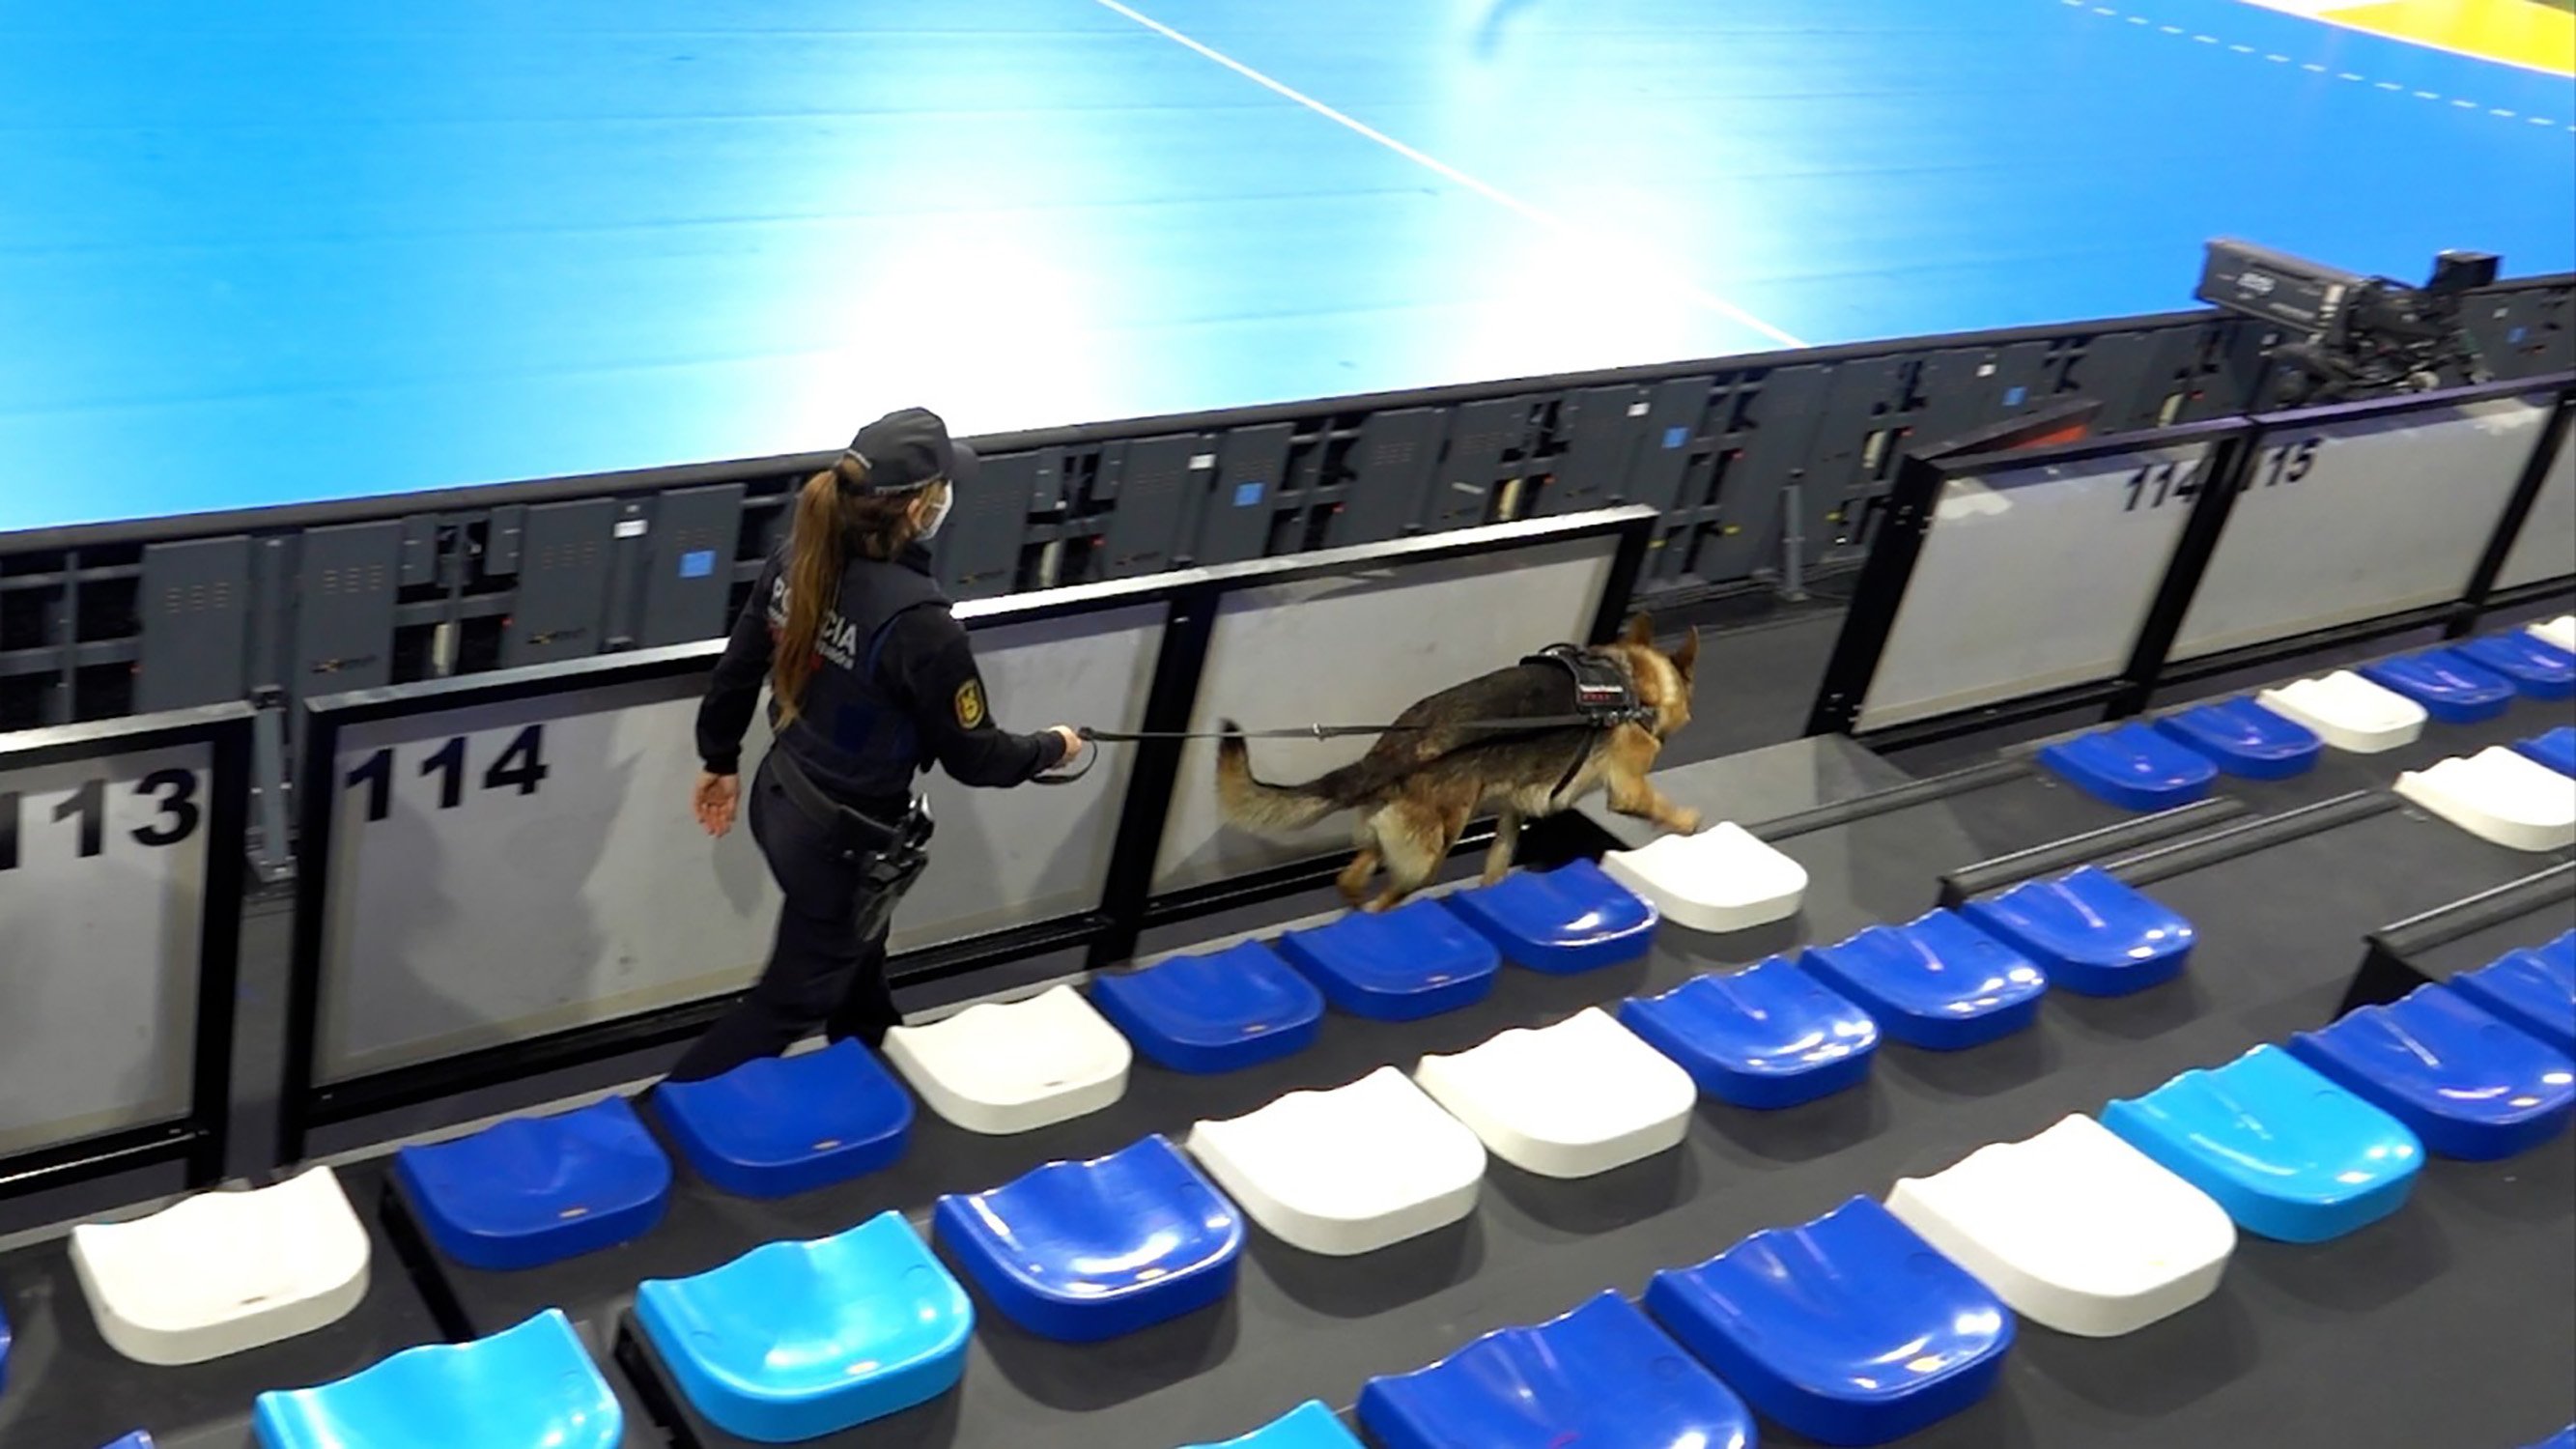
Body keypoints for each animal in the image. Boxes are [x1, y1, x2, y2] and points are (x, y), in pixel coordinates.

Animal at [1215, 611, 1700, 907]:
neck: (1637, 681)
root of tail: (1396, 749)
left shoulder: (1512, 811)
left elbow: (1499, 858)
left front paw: (1492, 893)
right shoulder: (1629, 788)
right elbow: (1661, 807)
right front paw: (1688, 823)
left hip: (1387, 838)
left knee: (1350, 881)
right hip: (1430, 856)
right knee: (1380, 903)